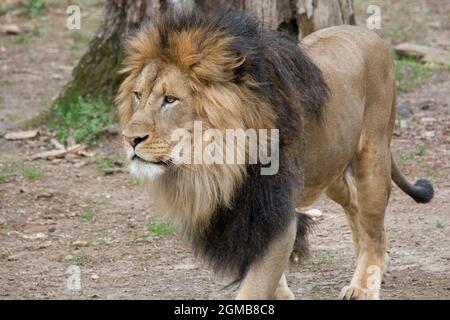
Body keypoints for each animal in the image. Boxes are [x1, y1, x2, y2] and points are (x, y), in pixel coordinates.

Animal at [116, 10, 432, 300]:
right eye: (137, 95)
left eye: (170, 99)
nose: (130, 139)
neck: (215, 165)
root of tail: (371, 36)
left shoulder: (274, 213)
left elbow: (255, 287)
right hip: (328, 170)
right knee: (355, 206)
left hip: (373, 156)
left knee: (373, 228)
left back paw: (365, 283)